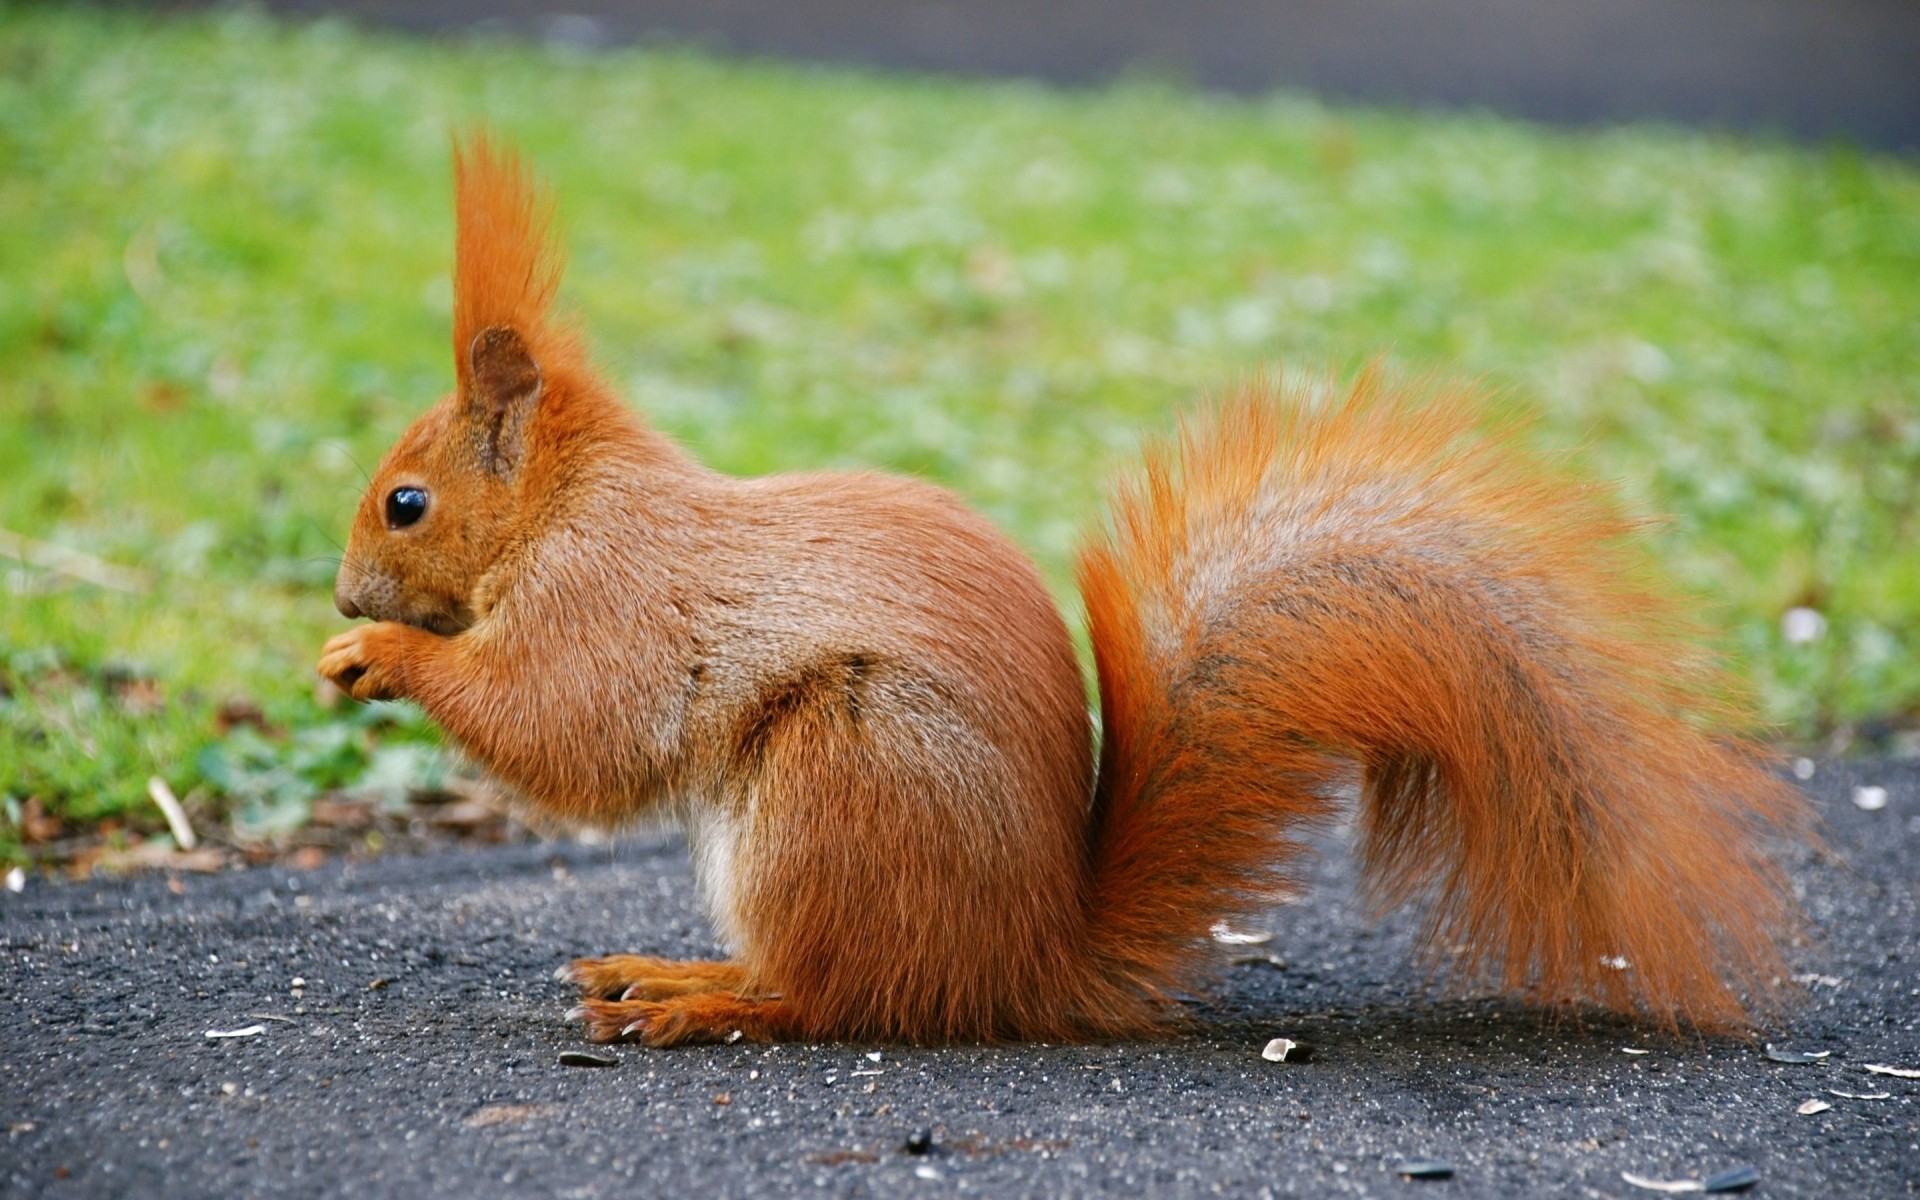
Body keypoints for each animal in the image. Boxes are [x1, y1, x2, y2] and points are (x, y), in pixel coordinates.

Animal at [314, 133, 1797, 1044]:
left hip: (843, 778)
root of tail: (1027, 960)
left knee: (836, 998)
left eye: (406, 502)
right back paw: (668, 968)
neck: (568, 504)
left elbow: (574, 728)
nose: (339, 597)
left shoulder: (609, 597)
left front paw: (387, 661)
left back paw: (699, 998)